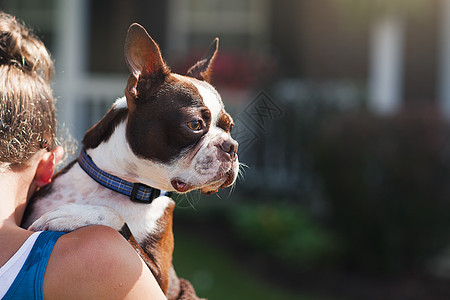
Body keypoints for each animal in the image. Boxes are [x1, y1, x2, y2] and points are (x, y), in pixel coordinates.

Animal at [22, 23, 239, 300]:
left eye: (230, 128)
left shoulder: (161, 279)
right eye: (194, 124)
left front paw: (73, 215)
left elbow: (115, 218)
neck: (121, 185)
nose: (231, 146)